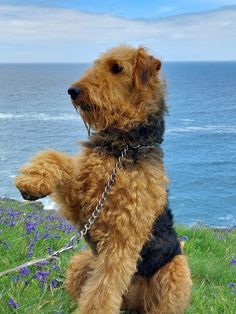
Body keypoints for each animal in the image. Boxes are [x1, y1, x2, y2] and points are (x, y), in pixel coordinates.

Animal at [14, 44, 192, 314]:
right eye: (96, 65)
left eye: (117, 68)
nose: (73, 91)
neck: (124, 147)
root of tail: (131, 304)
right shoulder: (83, 201)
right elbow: (59, 159)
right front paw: (32, 181)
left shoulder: (121, 239)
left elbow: (101, 292)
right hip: (82, 260)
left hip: (176, 270)